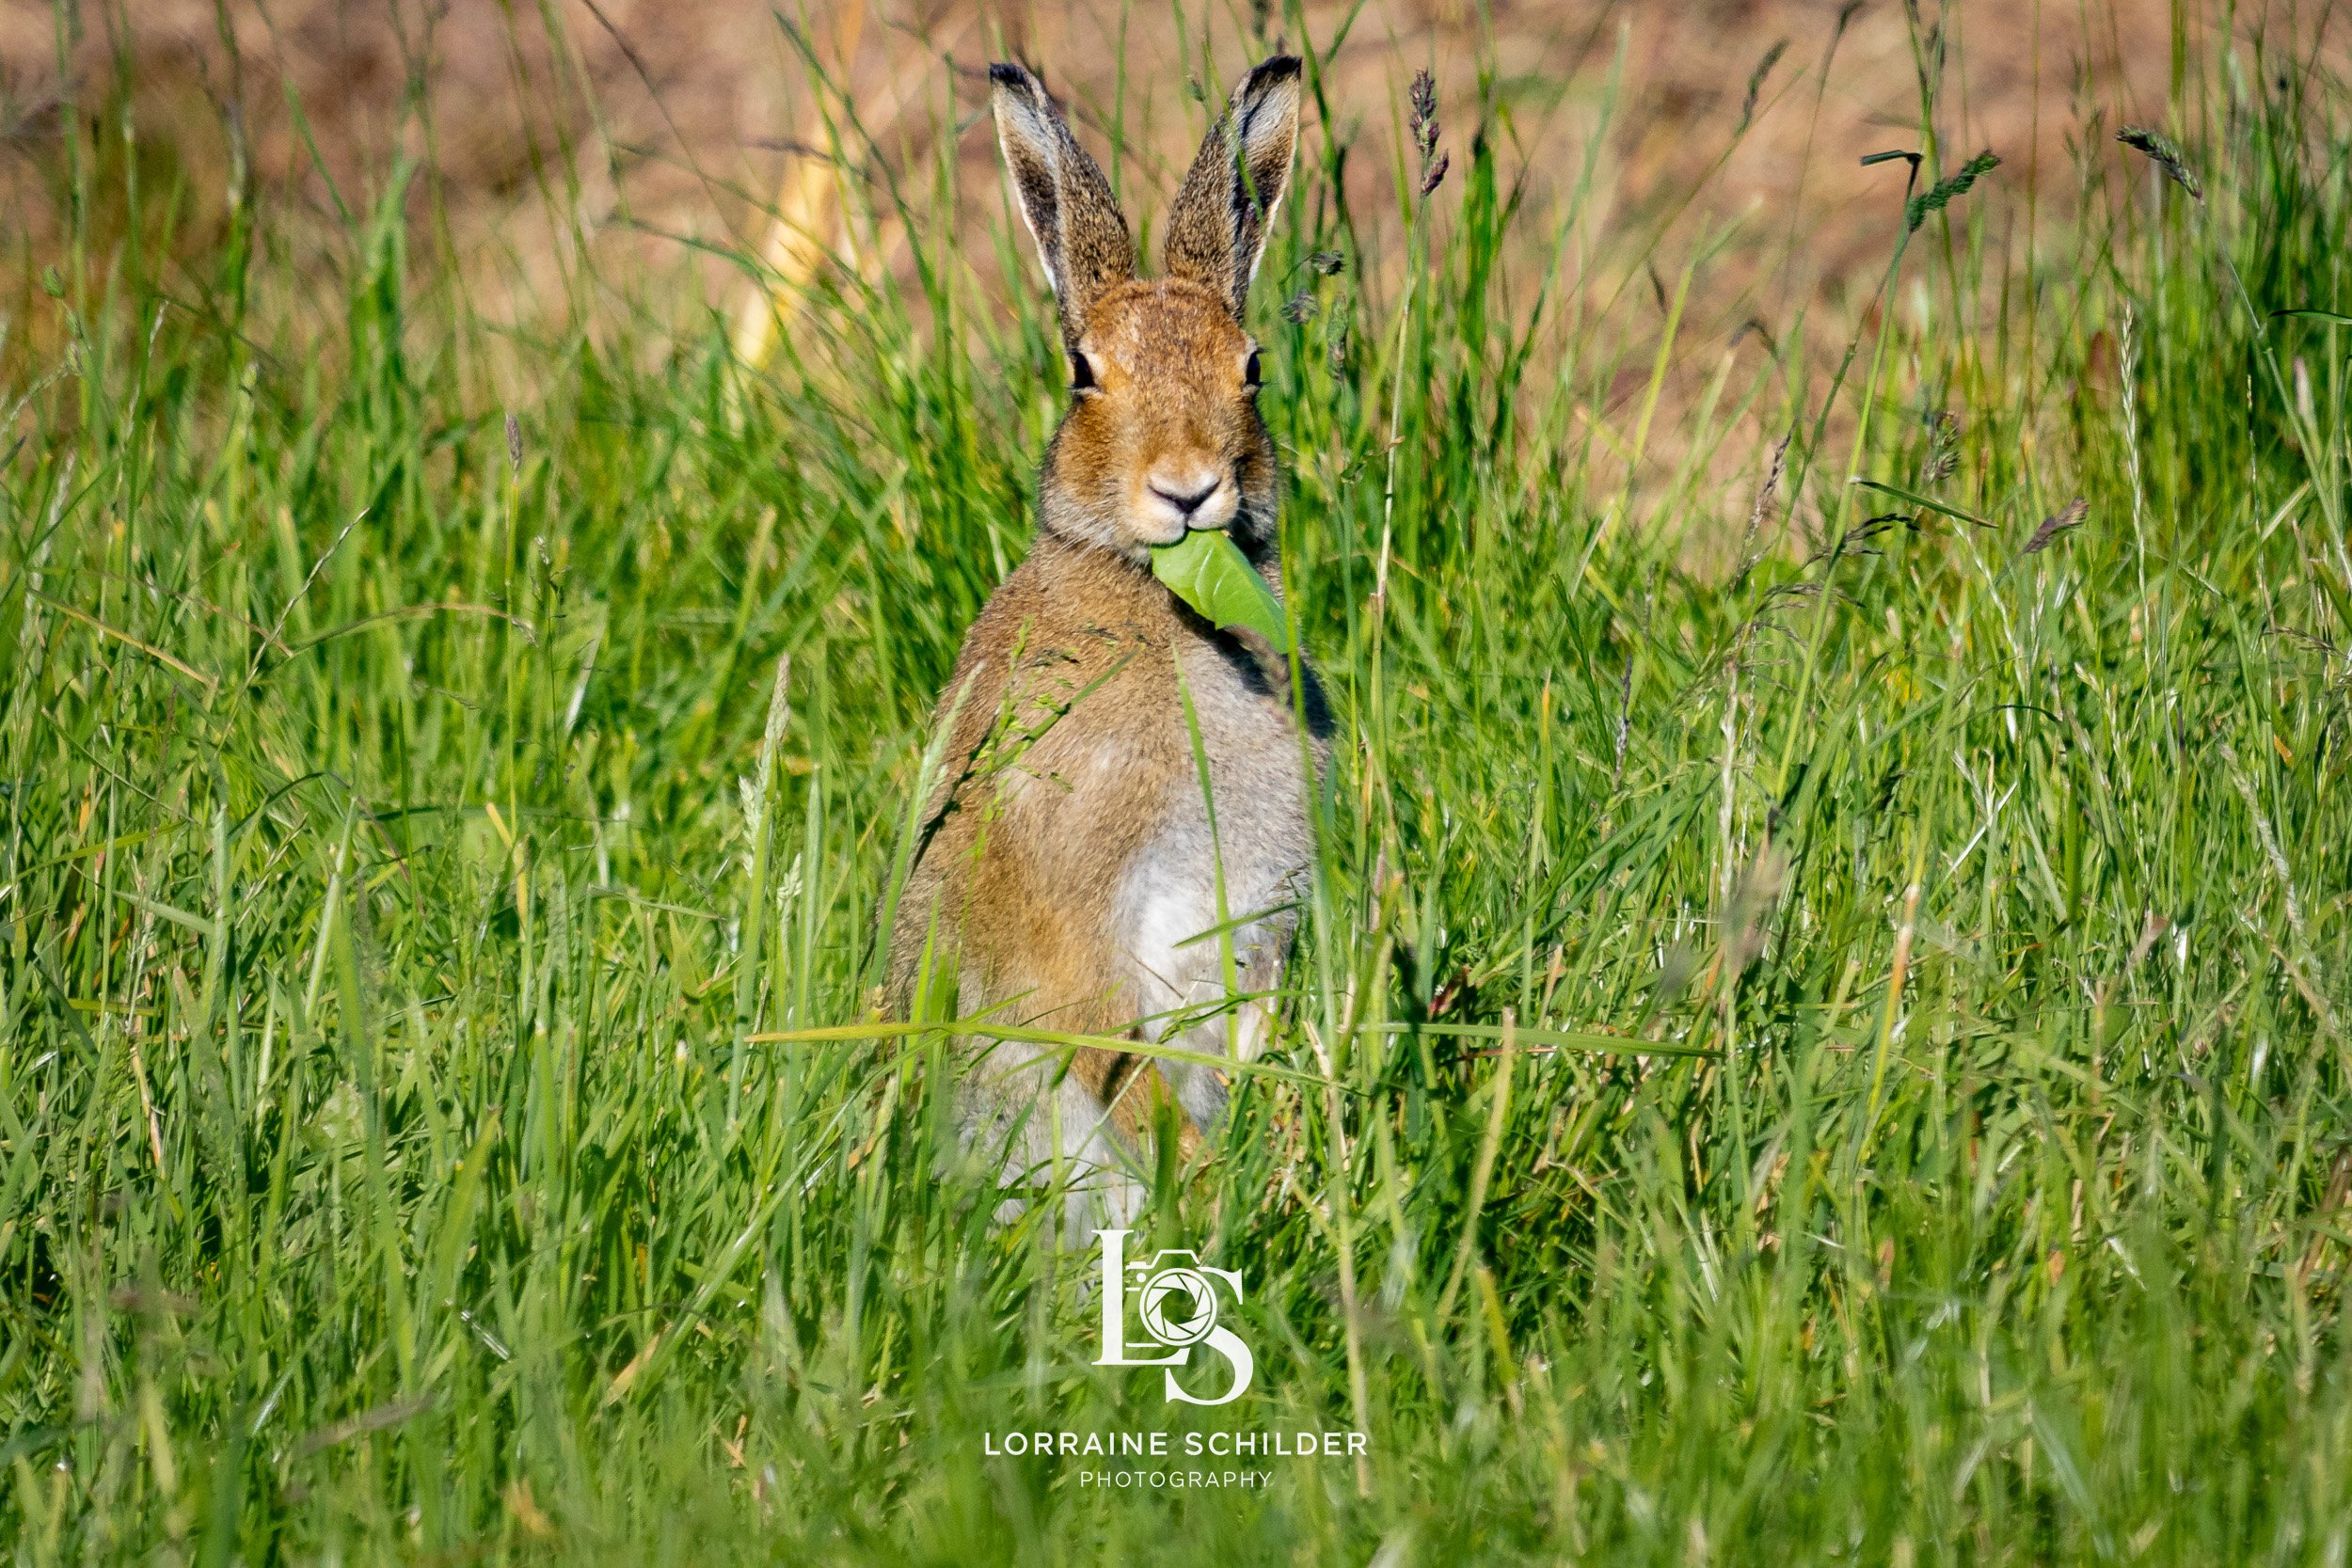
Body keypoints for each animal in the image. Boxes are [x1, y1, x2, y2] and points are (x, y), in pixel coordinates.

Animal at [886, 55, 1330, 1245]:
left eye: (1251, 367)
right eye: (1084, 373)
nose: (1188, 487)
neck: (1155, 593)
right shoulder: (1072, 910)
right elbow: (1100, 1035)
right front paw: (1207, 1176)